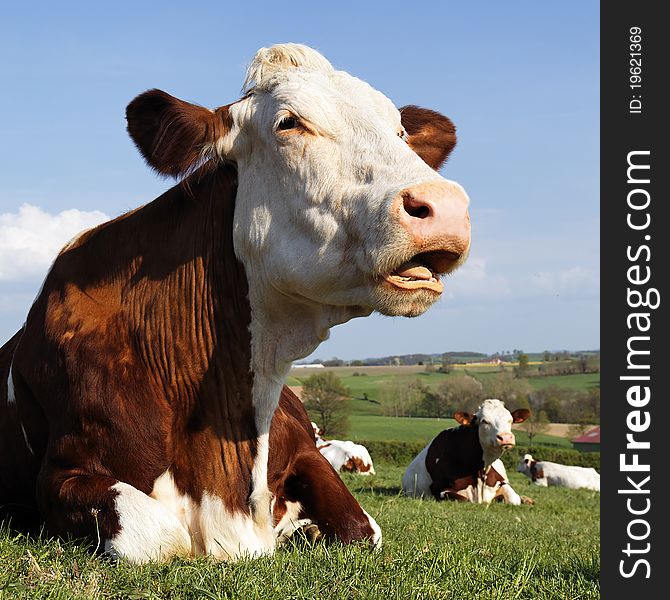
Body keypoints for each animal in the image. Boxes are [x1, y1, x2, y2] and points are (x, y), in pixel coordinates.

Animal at [1, 43, 472, 564]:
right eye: (288, 123)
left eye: (401, 131)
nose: (447, 208)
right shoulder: (62, 473)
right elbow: (160, 535)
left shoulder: (307, 452)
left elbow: (361, 530)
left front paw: (306, 528)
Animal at [402, 400, 532, 504]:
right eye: (484, 421)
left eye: (510, 420)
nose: (506, 437)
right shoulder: (440, 489)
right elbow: (465, 499)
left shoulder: (501, 481)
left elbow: (514, 498)